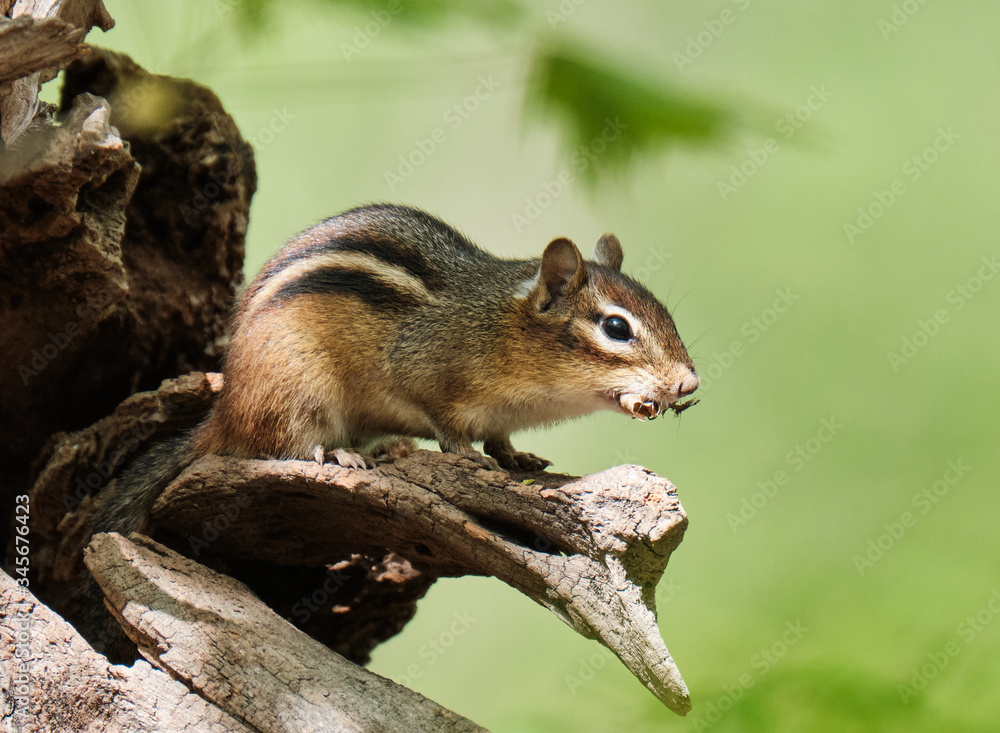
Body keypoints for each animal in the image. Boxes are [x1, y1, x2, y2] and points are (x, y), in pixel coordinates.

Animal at [83, 203, 698, 656]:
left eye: (666, 313)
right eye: (616, 327)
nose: (689, 383)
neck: (503, 327)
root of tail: (228, 404)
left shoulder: (500, 415)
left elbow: (502, 441)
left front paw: (515, 457)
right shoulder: (425, 376)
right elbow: (450, 428)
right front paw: (467, 457)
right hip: (298, 388)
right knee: (284, 446)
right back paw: (342, 455)